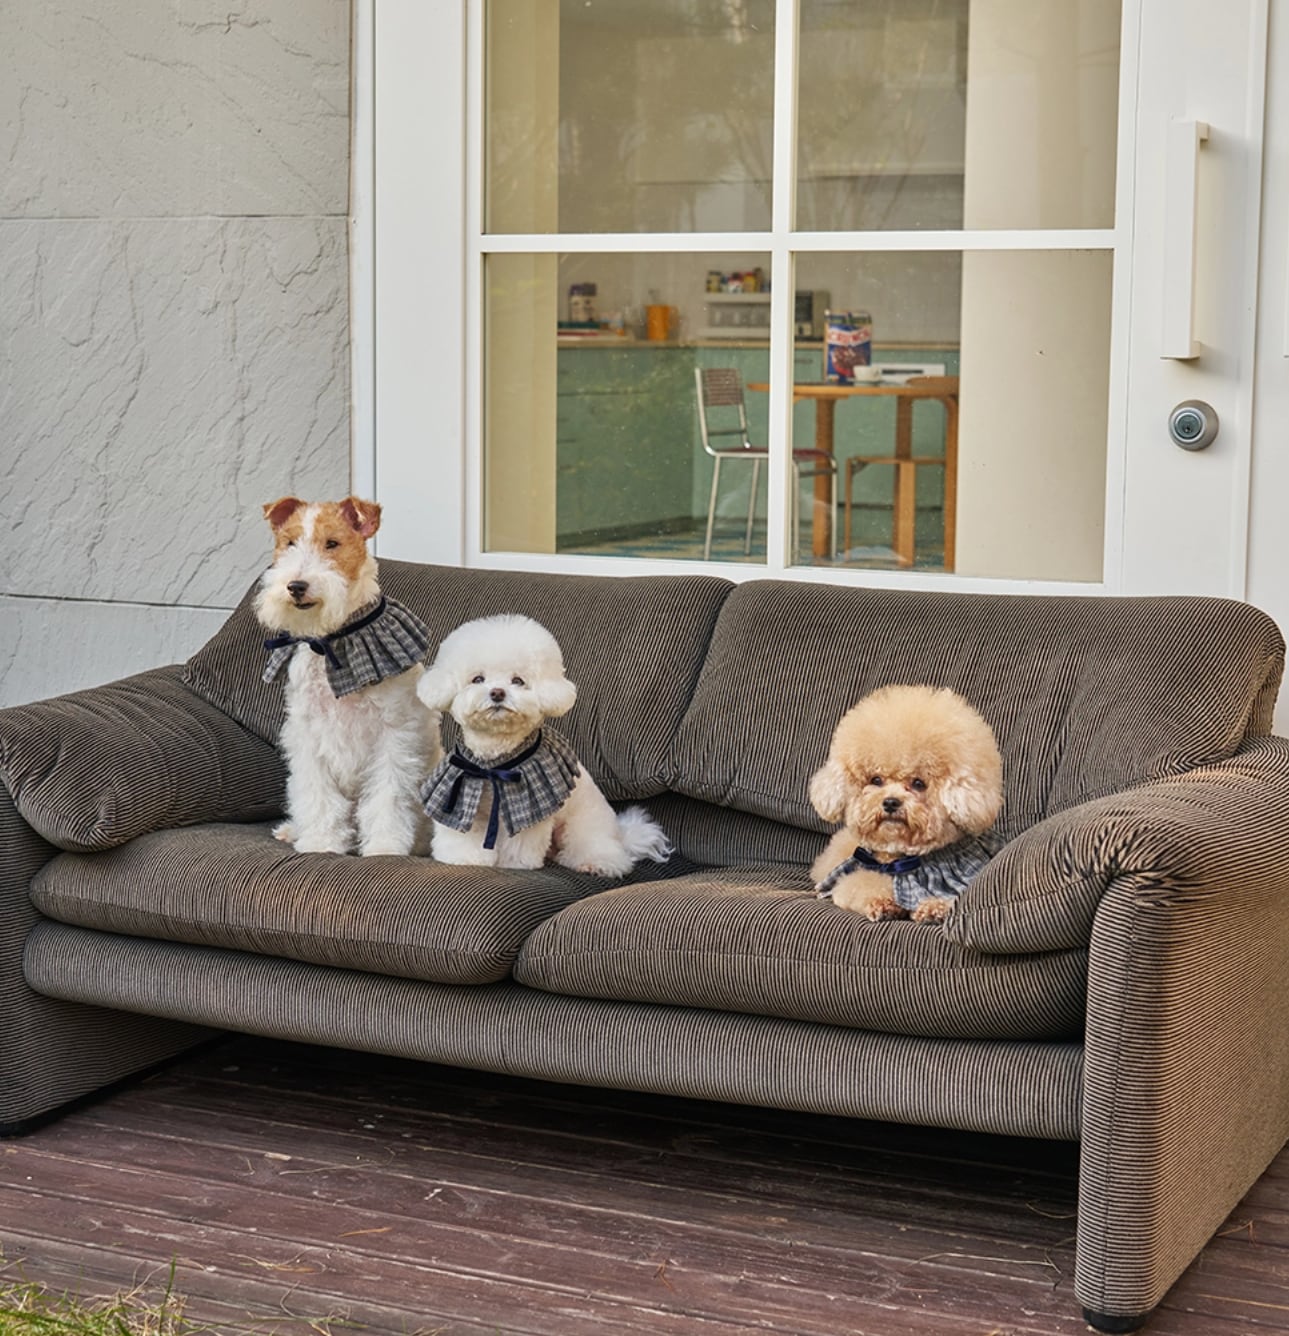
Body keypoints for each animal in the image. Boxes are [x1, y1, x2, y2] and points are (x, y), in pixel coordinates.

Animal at [254, 495, 440, 856]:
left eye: (332, 543)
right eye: (289, 542)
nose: (296, 586)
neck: (333, 640)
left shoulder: (393, 736)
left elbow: (387, 798)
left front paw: (385, 847)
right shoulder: (308, 734)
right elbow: (319, 796)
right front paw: (320, 843)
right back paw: (291, 831)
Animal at [416, 613, 672, 875]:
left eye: (518, 681)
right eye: (477, 679)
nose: (497, 693)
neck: (494, 761)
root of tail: (621, 835)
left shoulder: (528, 808)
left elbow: (519, 841)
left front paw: (515, 864)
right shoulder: (462, 790)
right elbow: (462, 834)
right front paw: (464, 859)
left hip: (584, 825)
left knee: (600, 849)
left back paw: (595, 863)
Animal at [807, 684, 1002, 922]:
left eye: (918, 783)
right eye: (876, 780)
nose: (891, 802)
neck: (903, 861)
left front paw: (934, 907)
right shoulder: (860, 873)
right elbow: (862, 883)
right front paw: (882, 903)